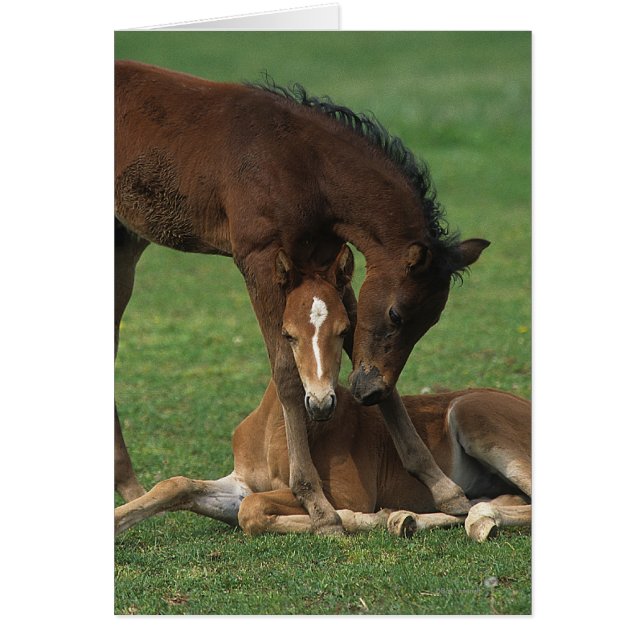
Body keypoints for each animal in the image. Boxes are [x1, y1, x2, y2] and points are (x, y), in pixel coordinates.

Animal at [115, 61, 490, 531]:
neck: (302, 165)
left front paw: (446, 490)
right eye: (397, 314)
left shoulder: (327, 268)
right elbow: (288, 372)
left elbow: (353, 349)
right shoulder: (260, 262)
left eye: (431, 321)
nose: (368, 393)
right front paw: (317, 504)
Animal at [115, 246, 531, 543]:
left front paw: (345, 520)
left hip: (475, 418)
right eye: (288, 333)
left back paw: (469, 519)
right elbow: (178, 484)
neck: (274, 430)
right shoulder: (241, 481)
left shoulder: (347, 491)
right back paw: (405, 519)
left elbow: (253, 510)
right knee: (503, 500)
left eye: (345, 330)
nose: (319, 402)